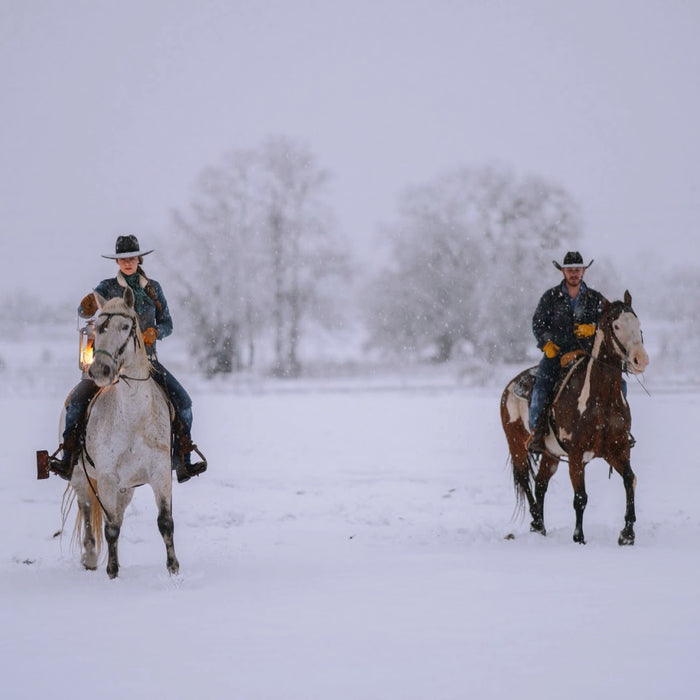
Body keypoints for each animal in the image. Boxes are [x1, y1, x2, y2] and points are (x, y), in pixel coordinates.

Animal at [500, 292, 648, 544]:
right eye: (616, 325)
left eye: (638, 325)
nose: (641, 360)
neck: (600, 403)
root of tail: (511, 385)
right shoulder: (577, 456)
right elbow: (580, 497)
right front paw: (579, 538)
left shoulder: (617, 450)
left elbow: (631, 480)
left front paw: (627, 534)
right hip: (517, 444)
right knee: (525, 481)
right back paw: (536, 521)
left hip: (550, 455)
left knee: (540, 484)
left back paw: (540, 526)